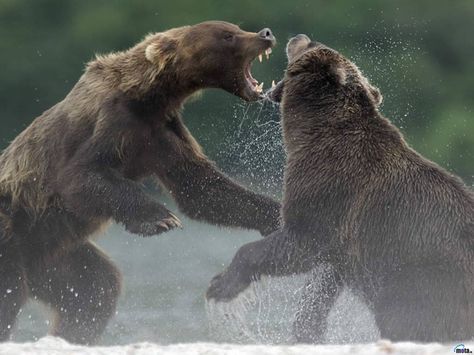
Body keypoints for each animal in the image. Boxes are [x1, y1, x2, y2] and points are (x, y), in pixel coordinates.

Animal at [207, 34, 474, 344]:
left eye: (312, 45)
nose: (298, 36)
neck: (308, 133)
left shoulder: (331, 192)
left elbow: (299, 242)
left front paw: (220, 286)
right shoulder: (345, 246)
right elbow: (324, 282)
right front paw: (307, 330)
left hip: (424, 275)